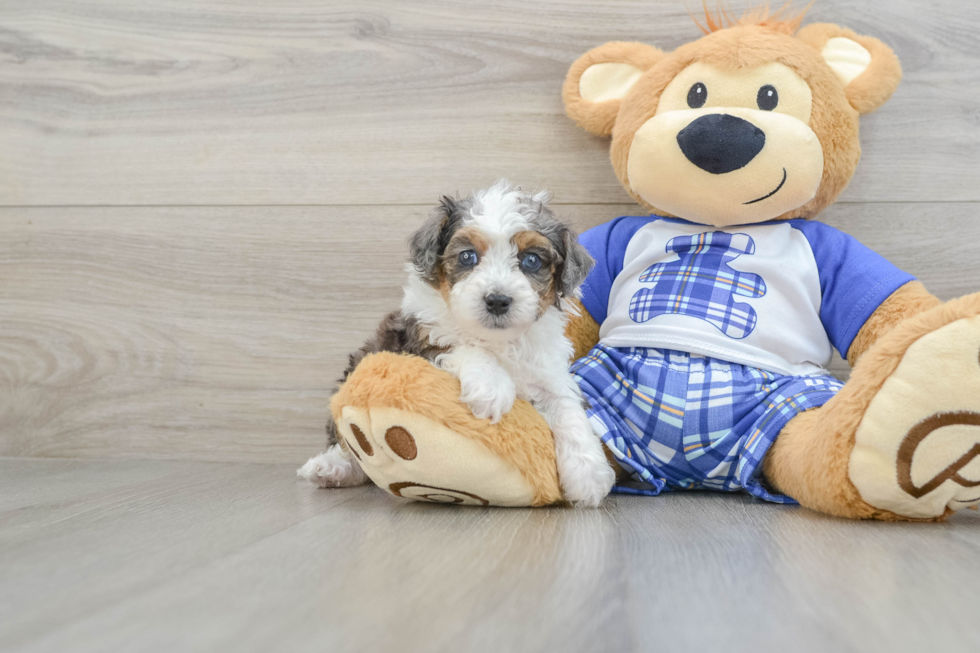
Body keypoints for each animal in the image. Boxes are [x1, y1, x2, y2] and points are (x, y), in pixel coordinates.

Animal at [302, 181, 616, 506]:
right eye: (467, 256)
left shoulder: (549, 373)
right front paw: (492, 389)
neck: (498, 340)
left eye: (531, 260)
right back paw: (331, 467)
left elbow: (567, 408)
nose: (497, 300)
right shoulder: (419, 339)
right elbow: (457, 345)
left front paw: (588, 473)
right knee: (346, 443)